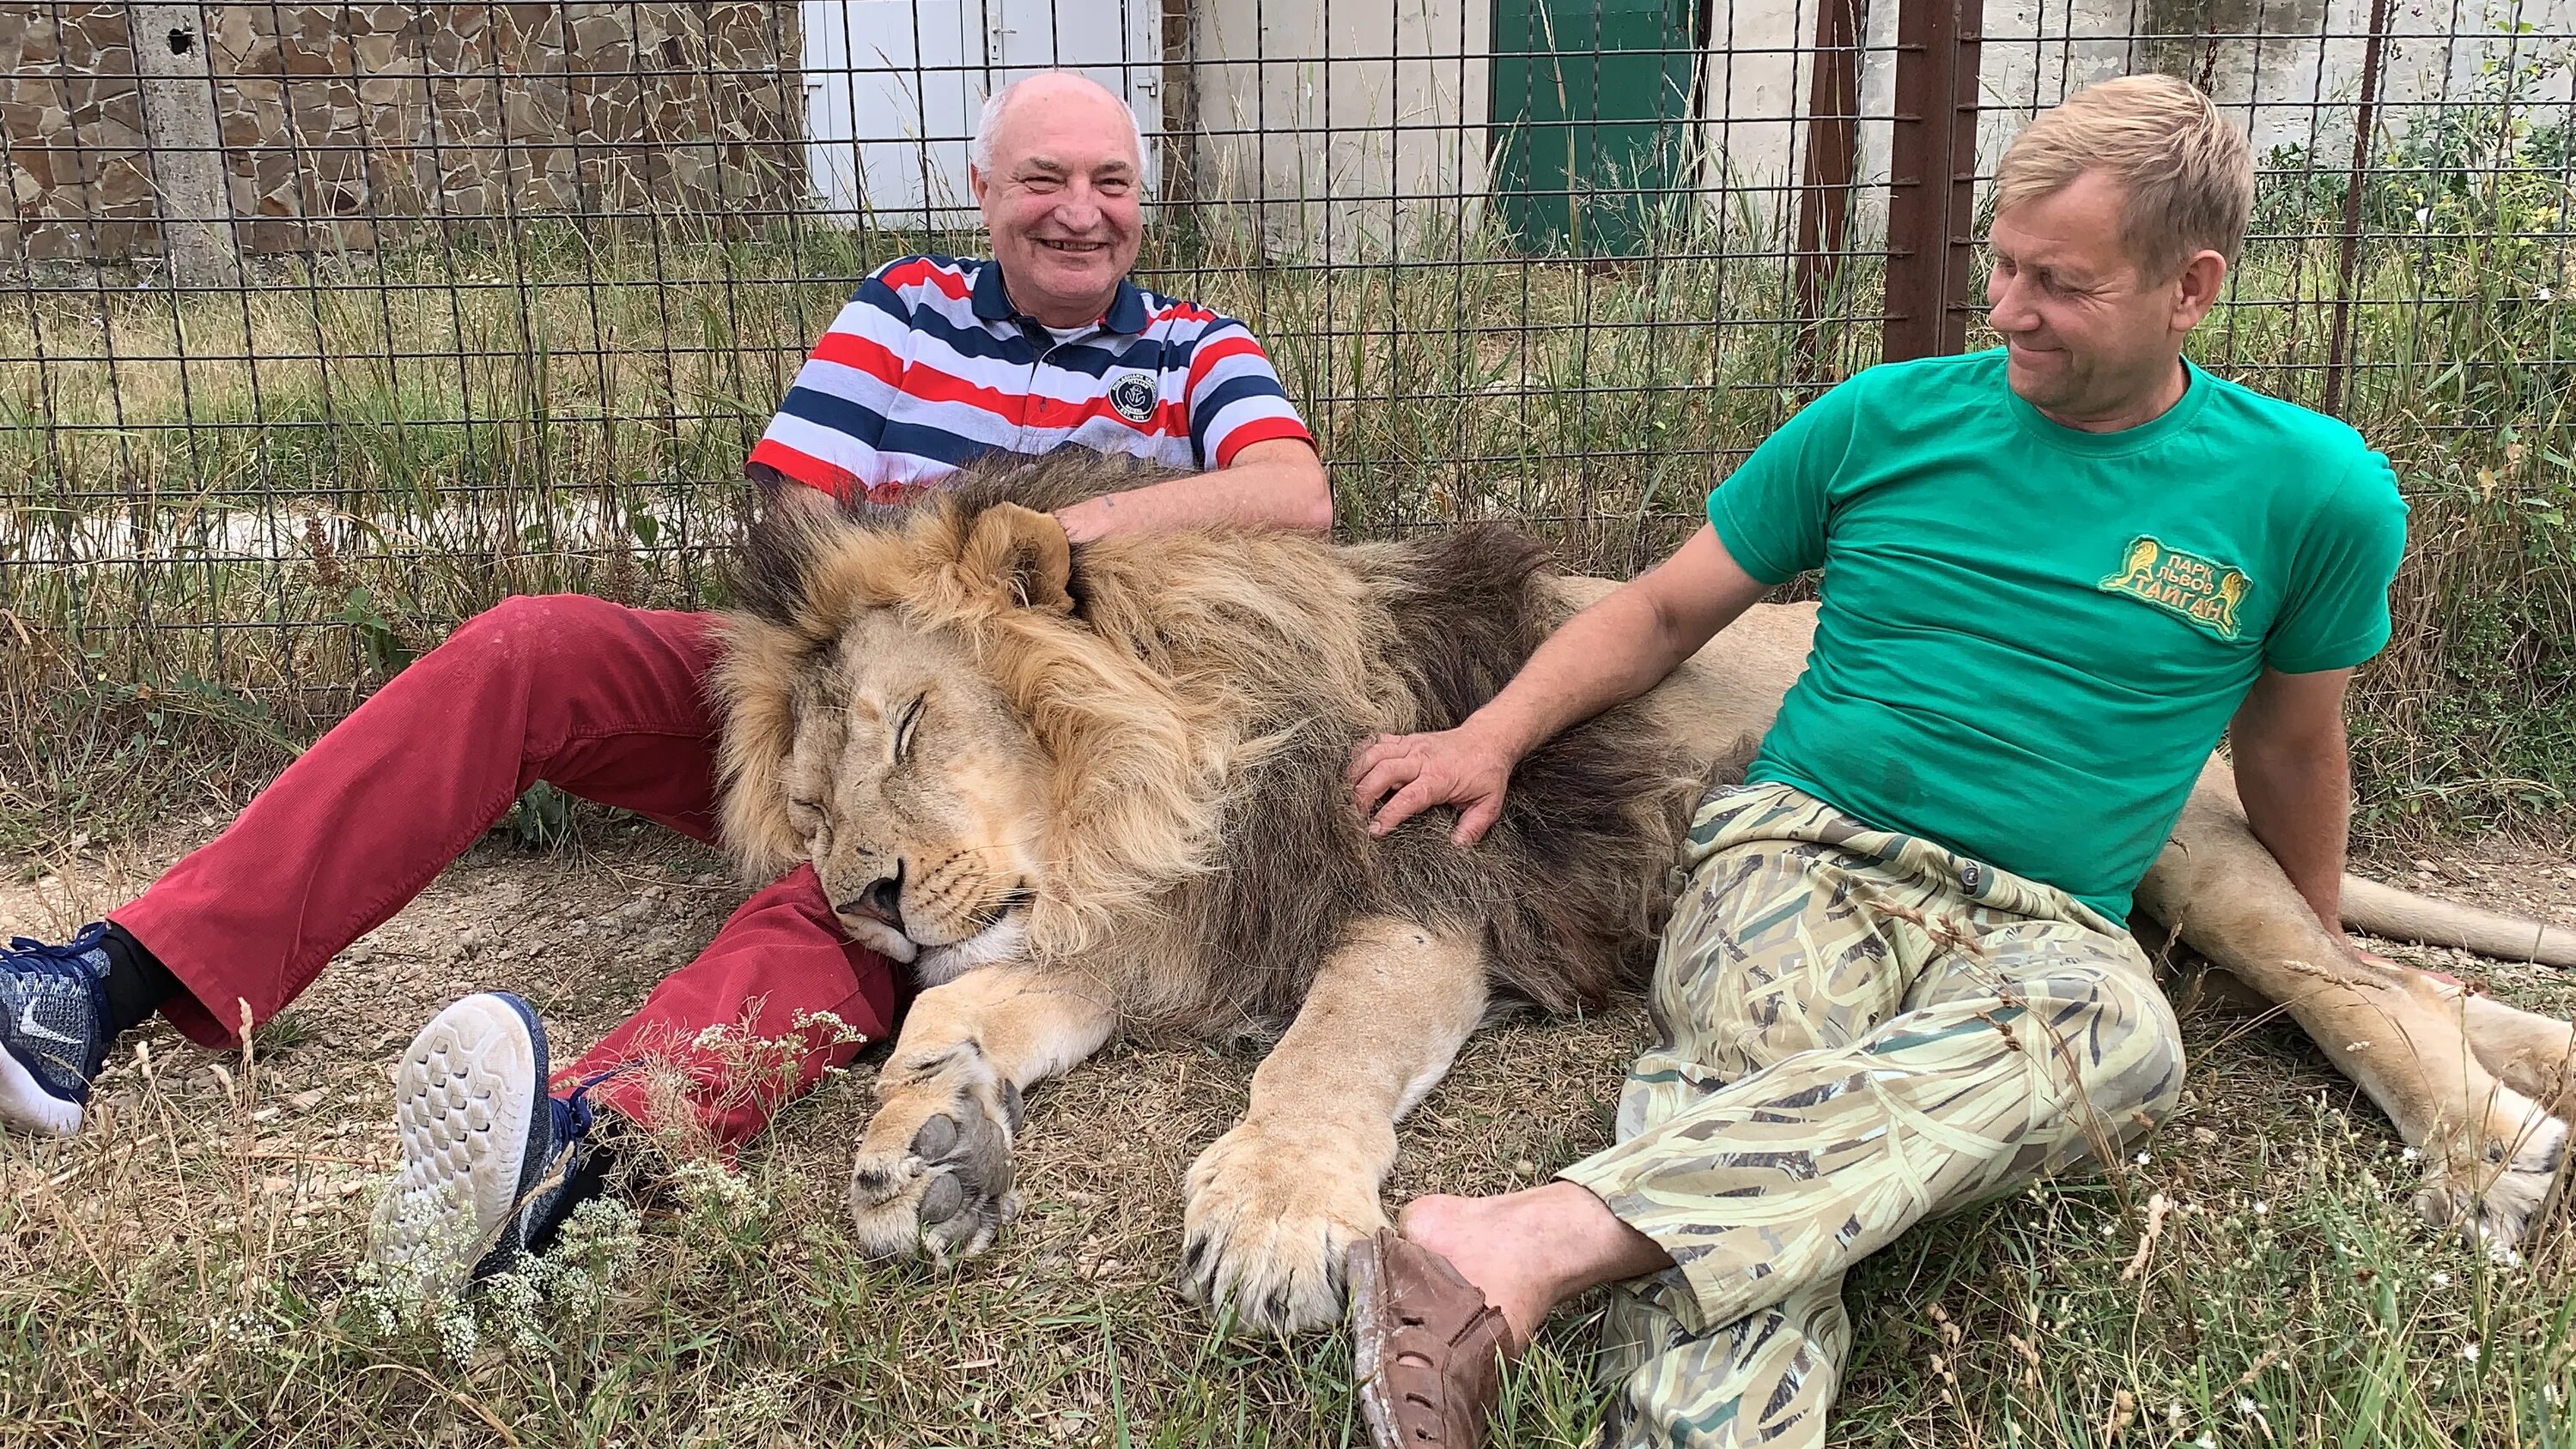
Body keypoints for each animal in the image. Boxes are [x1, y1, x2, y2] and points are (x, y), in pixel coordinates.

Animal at [711, 452, 2576, 1338]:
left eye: (911, 723)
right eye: (812, 807)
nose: (868, 897)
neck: (1152, 785)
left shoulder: (1425, 890)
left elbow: (1318, 1054)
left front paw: (1277, 1214)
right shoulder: (1156, 925)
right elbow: (969, 1000)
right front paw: (926, 1144)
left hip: (2180, 864)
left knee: (2375, 994)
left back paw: (2484, 1154)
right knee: (2421, 984)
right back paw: (2541, 1074)